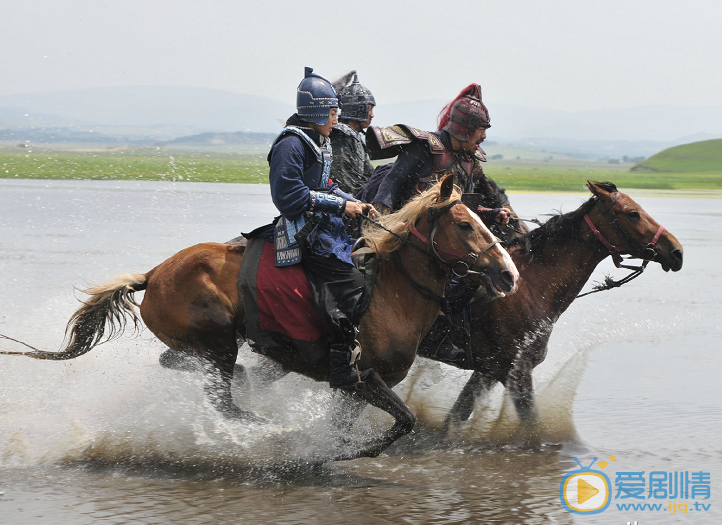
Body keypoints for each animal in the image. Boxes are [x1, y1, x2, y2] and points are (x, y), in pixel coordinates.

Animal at [0, 175, 516, 458]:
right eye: (465, 224)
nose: (509, 274)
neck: (389, 293)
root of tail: (153, 274)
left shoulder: (354, 390)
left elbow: (375, 425)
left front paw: (334, 453)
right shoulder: (361, 378)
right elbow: (403, 420)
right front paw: (346, 453)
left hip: (206, 346)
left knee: (182, 368)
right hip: (216, 341)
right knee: (223, 402)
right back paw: (268, 424)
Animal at [438, 182, 680, 432]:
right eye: (633, 214)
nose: (676, 251)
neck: (529, 286)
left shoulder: (488, 372)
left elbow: (454, 418)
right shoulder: (515, 371)